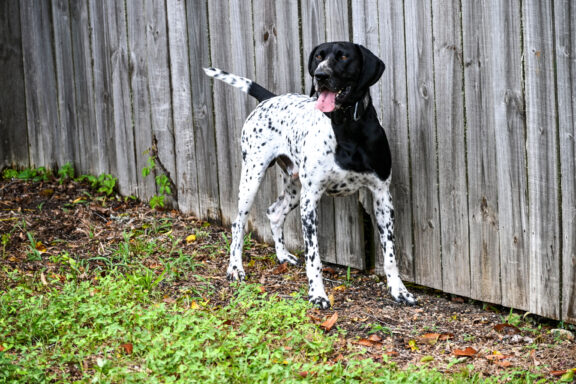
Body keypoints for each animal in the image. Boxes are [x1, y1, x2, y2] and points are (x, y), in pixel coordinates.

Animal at [205, 40, 416, 308]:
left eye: (344, 57)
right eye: (318, 57)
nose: (320, 76)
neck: (347, 127)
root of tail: (269, 98)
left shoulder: (382, 196)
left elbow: (390, 254)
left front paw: (398, 290)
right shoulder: (311, 201)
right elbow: (313, 257)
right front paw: (317, 294)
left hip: (295, 188)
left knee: (274, 212)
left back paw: (282, 255)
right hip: (252, 178)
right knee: (237, 223)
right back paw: (235, 267)